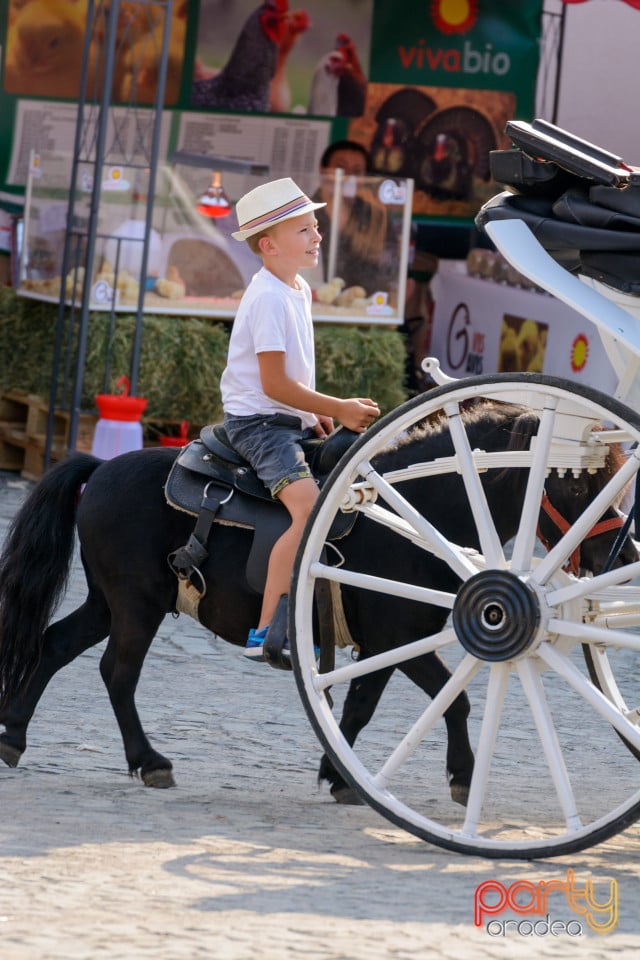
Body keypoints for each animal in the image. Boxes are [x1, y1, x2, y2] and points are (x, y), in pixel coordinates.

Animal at [0, 400, 636, 804]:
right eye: (576, 480)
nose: (622, 553)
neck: (413, 517)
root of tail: (102, 466)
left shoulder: (382, 647)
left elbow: (358, 709)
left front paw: (340, 774)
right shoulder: (401, 640)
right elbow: (453, 704)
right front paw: (460, 777)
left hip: (108, 602)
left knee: (53, 645)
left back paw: (13, 735)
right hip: (137, 606)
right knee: (117, 672)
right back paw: (149, 760)